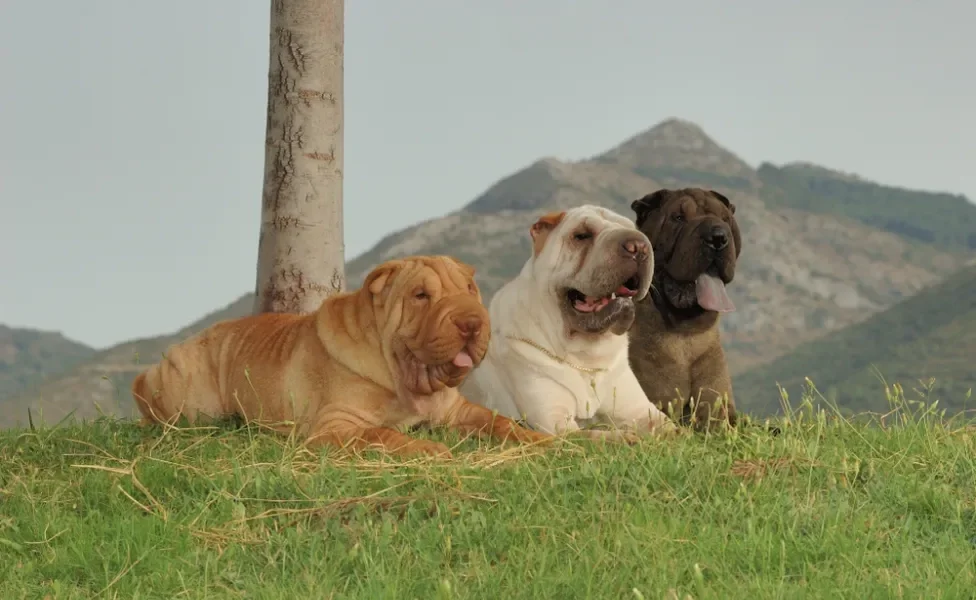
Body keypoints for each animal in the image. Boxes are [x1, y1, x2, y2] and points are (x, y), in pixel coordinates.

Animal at [133, 255, 552, 458]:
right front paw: (429, 448)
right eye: (421, 295)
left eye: (469, 289)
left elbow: (501, 422)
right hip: (191, 401)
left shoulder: (457, 411)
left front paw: (546, 441)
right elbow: (382, 434)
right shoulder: (336, 425)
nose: (472, 322)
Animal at [460, 204, 676, 438]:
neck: (585, 358)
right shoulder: (555, 422)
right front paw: (625, 438)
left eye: (635, 230)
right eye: (582, 235)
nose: (638, 246)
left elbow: (674, 429)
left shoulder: (640, 410)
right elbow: (595, 435)